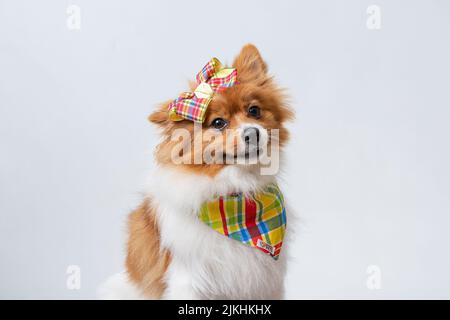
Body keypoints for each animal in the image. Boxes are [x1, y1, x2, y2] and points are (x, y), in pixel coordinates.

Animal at [99, 43, 296, 298]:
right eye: (218, 123)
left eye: (254, 111)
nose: (252, 132)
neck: (235, 195)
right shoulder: (188, 279)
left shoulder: (266, 281)